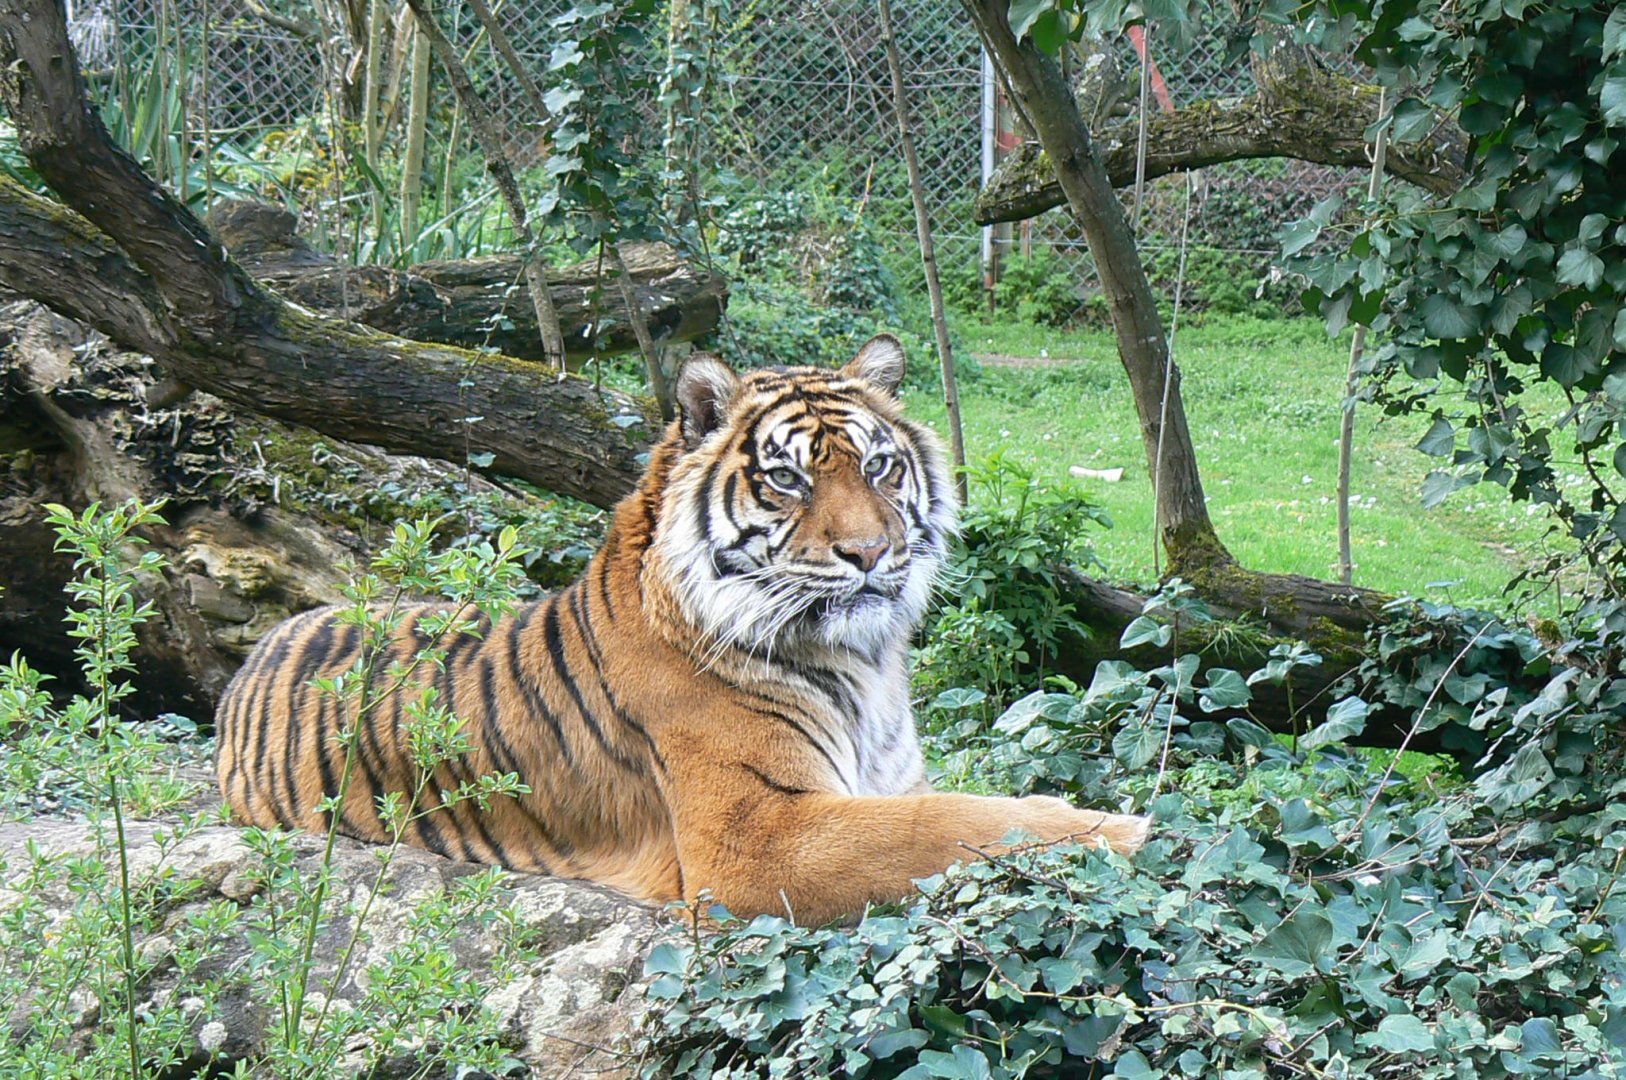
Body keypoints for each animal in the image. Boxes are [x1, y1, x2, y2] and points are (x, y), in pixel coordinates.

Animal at [215, 335, 1150, 925]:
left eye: (880, 466)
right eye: (786, 479)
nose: (869, 553)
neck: (865, 663)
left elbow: (950, 808)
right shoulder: (756, 838)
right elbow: (952, 824)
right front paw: (1123, 830)